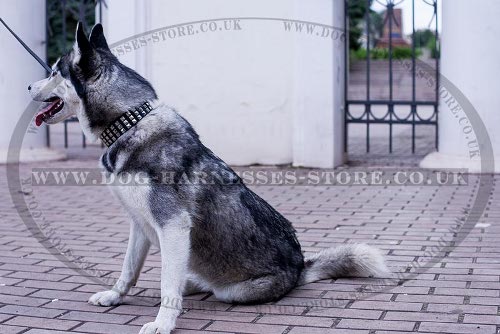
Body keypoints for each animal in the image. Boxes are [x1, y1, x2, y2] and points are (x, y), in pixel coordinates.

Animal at [29, 22, 388, 332]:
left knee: (200, 286)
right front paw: (116, 296)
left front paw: (163, 324)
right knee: (186, 279)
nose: (28, 85)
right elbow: (129, 269)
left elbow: (166, 284)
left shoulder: (172, 225)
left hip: (233, 289)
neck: (127, 122)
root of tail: (300, 266)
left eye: (53, 72)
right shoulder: (140, 224)